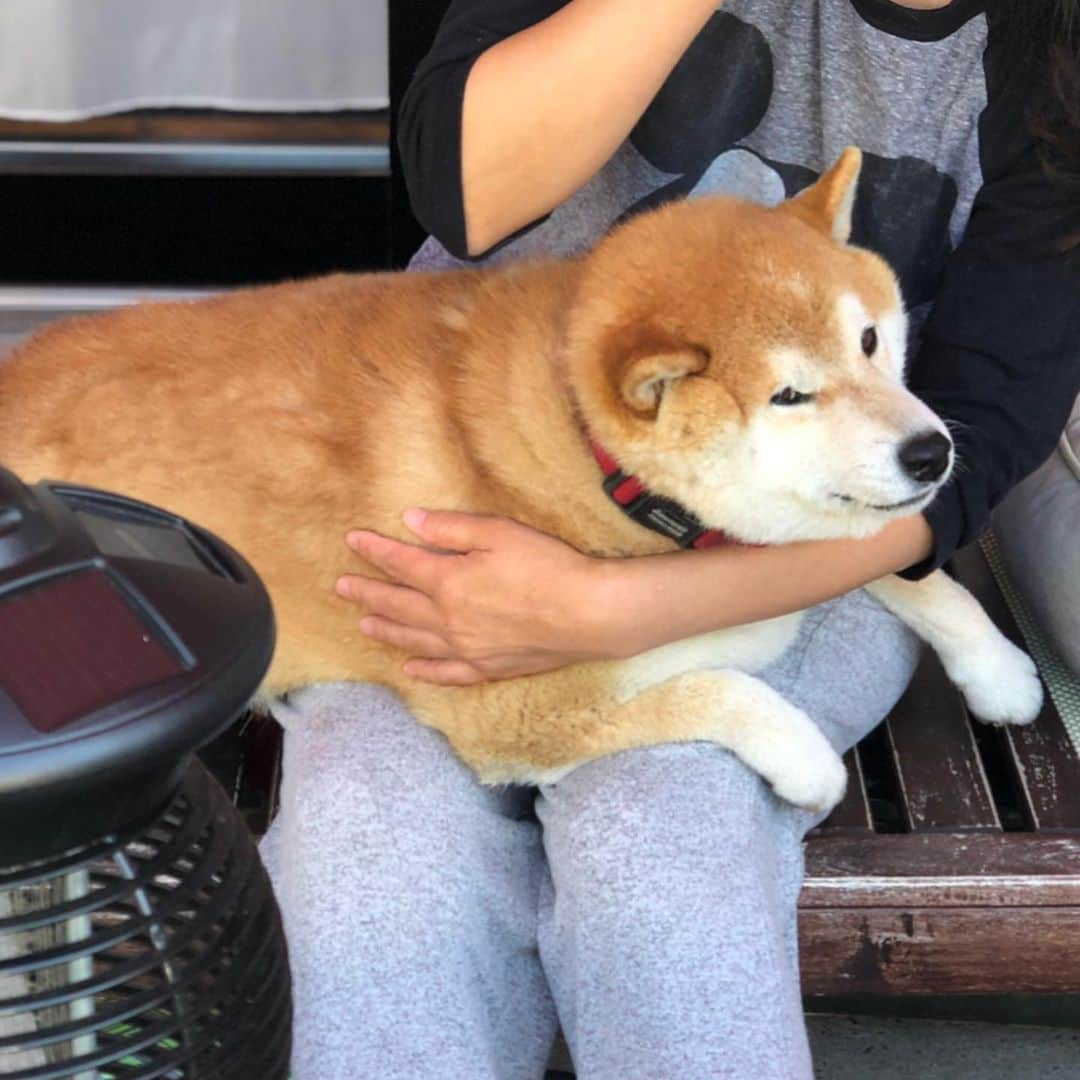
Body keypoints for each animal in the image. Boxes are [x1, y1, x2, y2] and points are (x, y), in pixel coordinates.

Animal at [2, 150, 1045, 812]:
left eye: (869, 340)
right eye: (790, 394)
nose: (932, 454)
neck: (598, 472)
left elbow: (901, 566)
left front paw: (995, 665)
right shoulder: (508, 714)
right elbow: (716, 692)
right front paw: (806, 760)